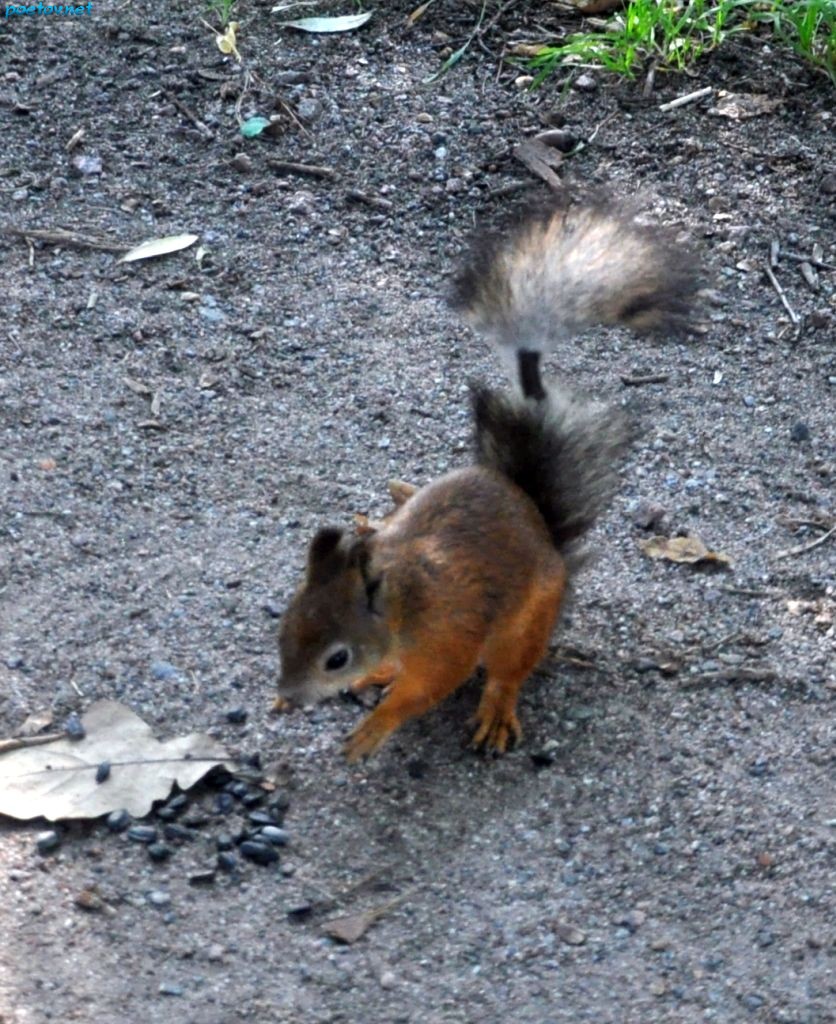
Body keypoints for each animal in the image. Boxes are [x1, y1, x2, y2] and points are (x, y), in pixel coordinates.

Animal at [274, 199, 700, 761]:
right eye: (284, 627)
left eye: (336, 658)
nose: (287, 697)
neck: (403, 606)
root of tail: (540, 525)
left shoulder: (448, 637)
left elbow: (431, 687)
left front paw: (376, 727)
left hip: (523, 628)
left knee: (507, 672)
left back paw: (495, 710)